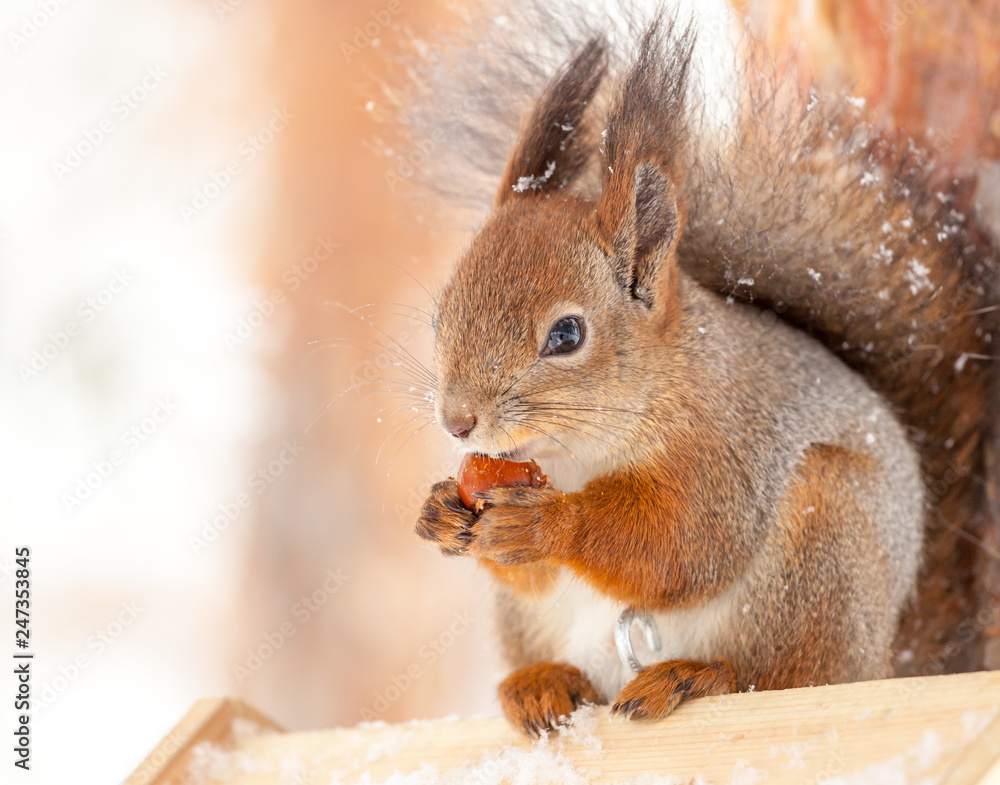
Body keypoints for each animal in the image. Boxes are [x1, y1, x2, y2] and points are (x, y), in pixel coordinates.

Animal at [393, 4, 1000, 736]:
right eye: (439, 317)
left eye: (567, 334)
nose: (458, 423)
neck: (574, 454)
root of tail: (885, 657)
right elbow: (532, 571)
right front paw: (438, 512)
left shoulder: (723, 443)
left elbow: (686, 543)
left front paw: (549, 525)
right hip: (535, 624)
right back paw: (541, 684)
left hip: (825, 541)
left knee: (781, 676)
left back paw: (696, 675)